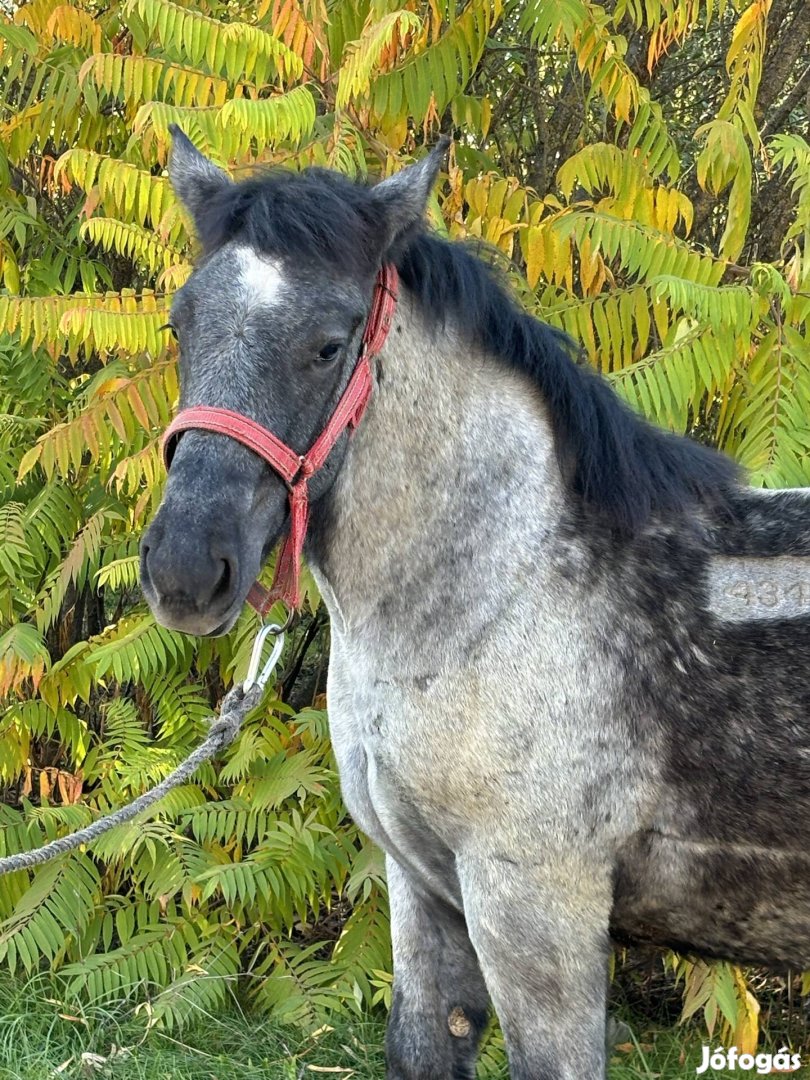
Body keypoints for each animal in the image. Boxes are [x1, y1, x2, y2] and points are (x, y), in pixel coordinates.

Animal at [141, 130, 810, 1075]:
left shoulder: (534, 914)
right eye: (182, 323)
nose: (186, 569)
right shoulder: (428, 895)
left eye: (328, 344)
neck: (507, 589)